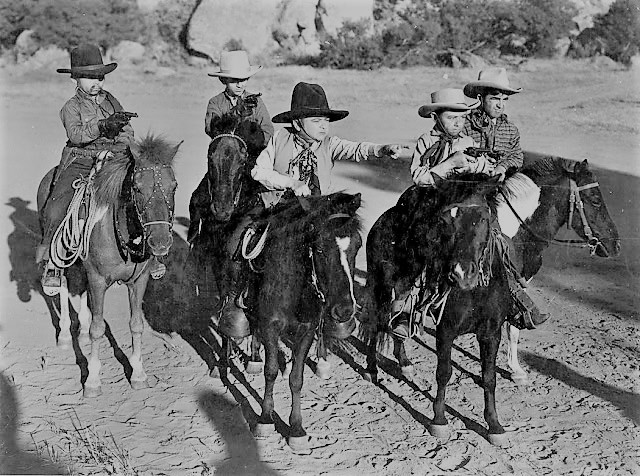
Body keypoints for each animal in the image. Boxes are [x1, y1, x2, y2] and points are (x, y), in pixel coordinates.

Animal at [37, 136, 180, 396]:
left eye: (173, 186)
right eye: (137, 187)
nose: (160, 242)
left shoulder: (138, 281)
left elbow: (136, 324)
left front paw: (138, 373)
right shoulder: (98, 279)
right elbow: (98, 328)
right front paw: (93, 380)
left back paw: (80, 331)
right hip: (60, 249)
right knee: (62, 284)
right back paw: (64, 334)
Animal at [362, 176, 516, 446]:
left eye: (483, 217)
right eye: (446, 220)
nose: (462, 273)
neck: (474, 292)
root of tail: (386, 217)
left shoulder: (491, 333)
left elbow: (489, 377)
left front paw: (495, 425)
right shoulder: (446, 331)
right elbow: (444, 373)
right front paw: (439, 420)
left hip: (401, 291)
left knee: (397, 321)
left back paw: (405, 363)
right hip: (379, 287)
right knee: (378, 323)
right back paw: (372, 369)